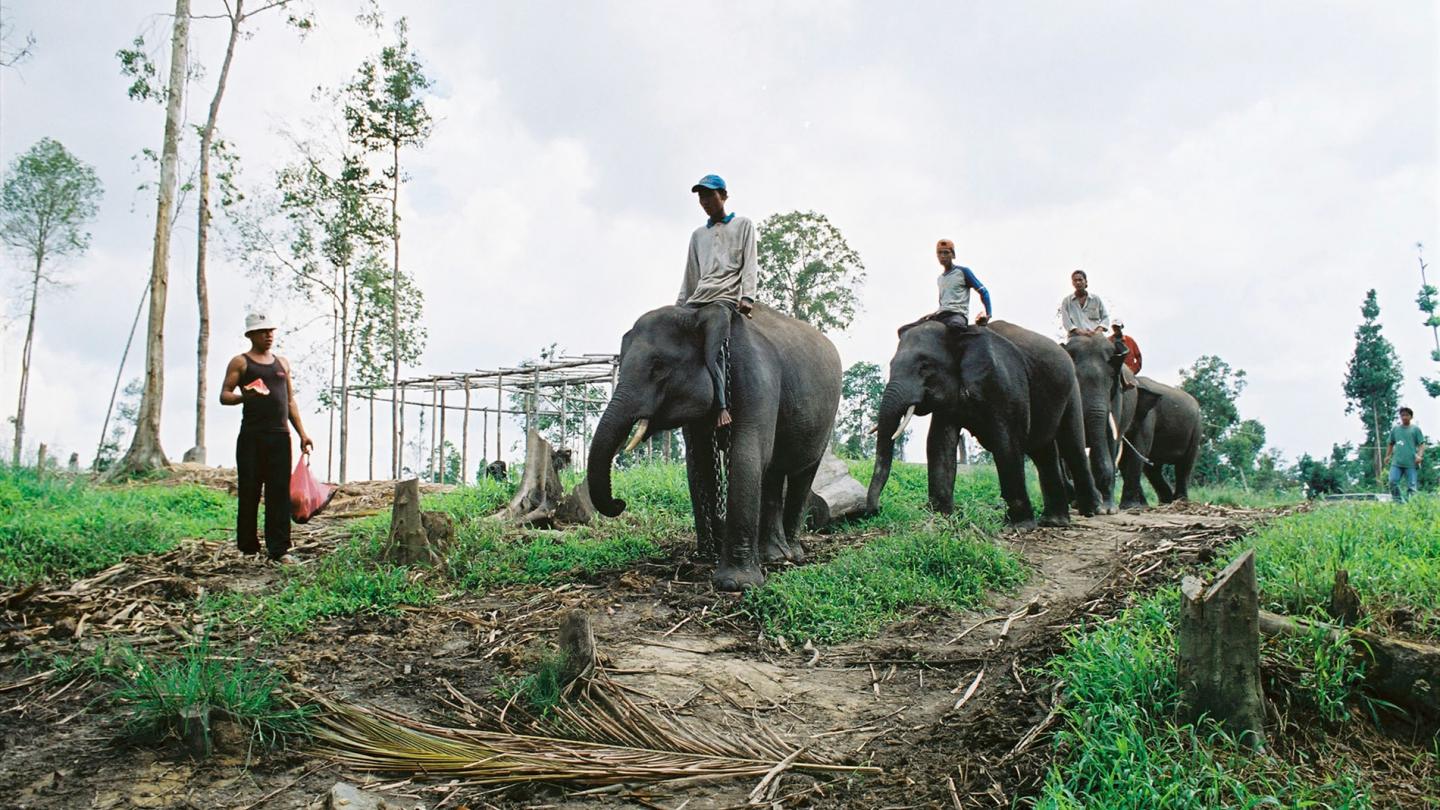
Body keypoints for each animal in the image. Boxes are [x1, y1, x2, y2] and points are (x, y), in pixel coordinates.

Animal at [586, 302, 842, 591]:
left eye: (659, 366)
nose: (620, 503)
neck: (700, 313)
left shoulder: (756, 376)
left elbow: (747, 453)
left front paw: (735, 584)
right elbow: (701, 462)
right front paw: (706, 558)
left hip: (827, 419)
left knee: (803, 474)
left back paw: (793, 556)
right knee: (773, 474)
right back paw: (774, 555)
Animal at [866, 320, 1101, 528]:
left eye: (925, 367)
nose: (876, 510)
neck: (960, 336)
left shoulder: (1003, 381)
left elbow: (1006, 441)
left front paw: (1018, 527)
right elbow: (939, 443)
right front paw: (941, 517)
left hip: (1072, 389)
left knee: (1071, 446)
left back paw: (1090, 511)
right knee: (1043, 452)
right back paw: (1054, 522)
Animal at [1119, 377, 1201, 508]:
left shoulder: (1148, 418)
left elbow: (1138, 450)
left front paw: (1131, 507)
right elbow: (1124, 458)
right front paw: (1141, 506)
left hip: (1196, 428)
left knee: (1184, 465)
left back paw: (1180, 501)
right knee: (1153, 469)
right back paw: (1166, 502)